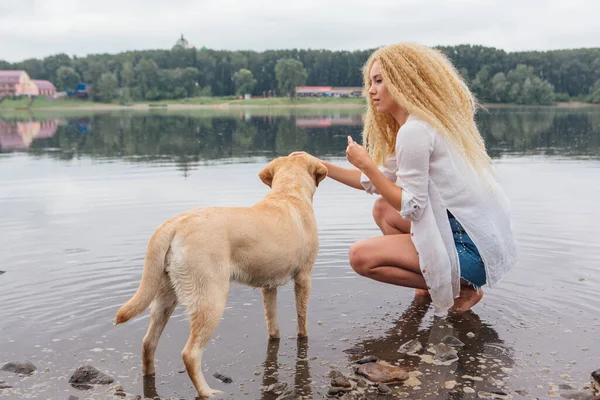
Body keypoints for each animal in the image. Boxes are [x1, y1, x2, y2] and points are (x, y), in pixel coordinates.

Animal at [114, 153, 326, 396]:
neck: (287, 193)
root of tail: (175, 223)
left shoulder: (268, 286)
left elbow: (272, 323)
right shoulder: (304, 277)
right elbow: (302, 320)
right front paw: (303, 336)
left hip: (164, 297)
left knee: (148, 343)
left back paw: (149, 377)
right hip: (211, 299)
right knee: (190, 354)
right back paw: (207, 391)